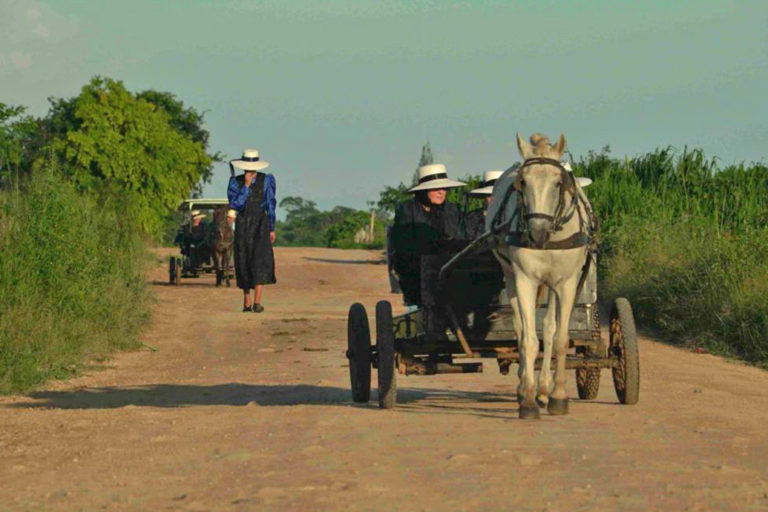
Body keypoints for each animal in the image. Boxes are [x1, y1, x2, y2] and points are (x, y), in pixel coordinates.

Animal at [492, 132, 592, 420]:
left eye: (559, 183)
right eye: (522, 182)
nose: (537, 233)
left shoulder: (567, 284)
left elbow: (559, 339)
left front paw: (558, 396)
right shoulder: (525, 280)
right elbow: (528, 340)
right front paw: (527, 400)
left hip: (554, 286)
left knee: (549, 328)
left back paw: (545, 389)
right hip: (511, 277)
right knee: (520, 328)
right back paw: (525, 387)